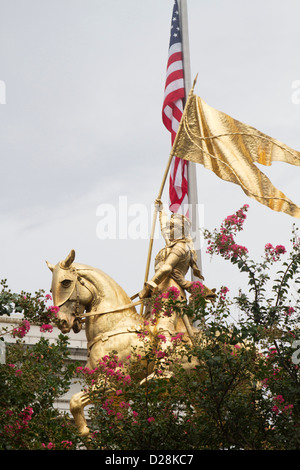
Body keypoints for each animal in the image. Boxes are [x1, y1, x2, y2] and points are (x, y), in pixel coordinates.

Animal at [46, 250, 197, 436]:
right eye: (51, 289)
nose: (61, 322)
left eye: (66, 282)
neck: (115, 324)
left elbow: (74, 402)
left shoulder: (113, 383)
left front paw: (87, 435)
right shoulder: (117, 396)